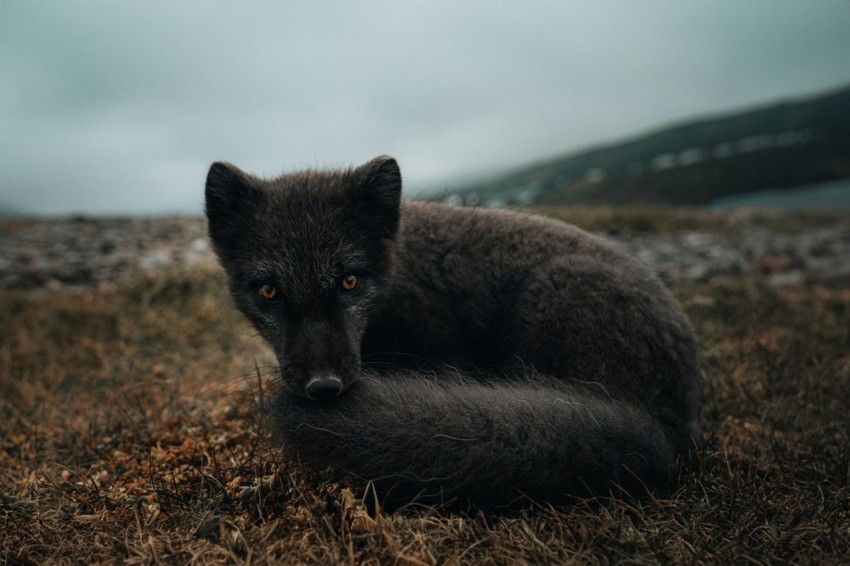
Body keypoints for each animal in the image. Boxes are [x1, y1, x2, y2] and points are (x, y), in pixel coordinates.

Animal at [205, 154, 704, 510]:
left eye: (349, 282)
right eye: (269, 291)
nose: (323, 387)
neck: (397, 284)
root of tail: (669, 428)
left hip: (550, 299)